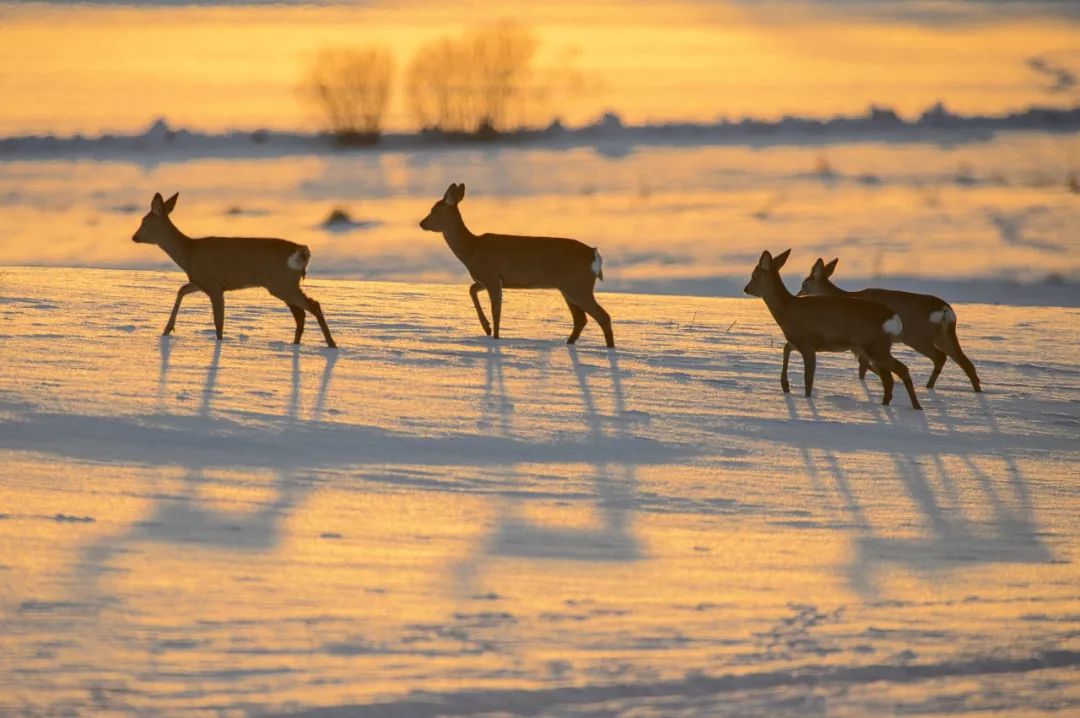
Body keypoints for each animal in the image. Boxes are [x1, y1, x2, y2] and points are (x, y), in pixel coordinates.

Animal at [133, 190, 336, 347]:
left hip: (281, 282)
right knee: (300, 313)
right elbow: (181, 290)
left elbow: (219, 321)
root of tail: (301, 251)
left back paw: (331, 344)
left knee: (313, 305)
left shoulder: (214, 284)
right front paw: (167, 329)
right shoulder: (201, 281)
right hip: (284, 284)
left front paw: (218, 345)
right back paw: (297, 345)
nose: (134, 237)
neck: (188, 254)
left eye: (144, 223)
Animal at [416, 182, 613, 345]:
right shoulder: (487, 279)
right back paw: (569, 343)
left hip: (577, 285)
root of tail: (594, 254)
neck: (471, 249)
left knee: (602, 316)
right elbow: (472, 290)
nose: (421, 223)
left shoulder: (492, 276)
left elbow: (496, 310)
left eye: (434, 210)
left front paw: (494, 337)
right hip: (569, 287)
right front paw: (487, 329)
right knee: (581, 319)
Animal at [747, 249, 924, 408]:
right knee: (889, 377)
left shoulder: (806, 342)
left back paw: (912, 407)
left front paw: (807, 400)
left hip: (874, 345)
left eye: (754, 276)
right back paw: (894, 405)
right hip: (875, 347)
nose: (746, 289)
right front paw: (785, 386)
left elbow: (808, 377)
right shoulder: (800, 340)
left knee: (900, 370)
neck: (786, 310)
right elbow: (786, 349)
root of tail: (893, 316)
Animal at [799, 258, 984, 393]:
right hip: (944, 335)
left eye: (804, 283)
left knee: (940, 357)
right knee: (965, 362)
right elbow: (864, 365)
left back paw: (928, 387)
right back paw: (977, 391)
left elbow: (863, 364)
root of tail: (945, 310)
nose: (799, 294)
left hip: (917, 336)